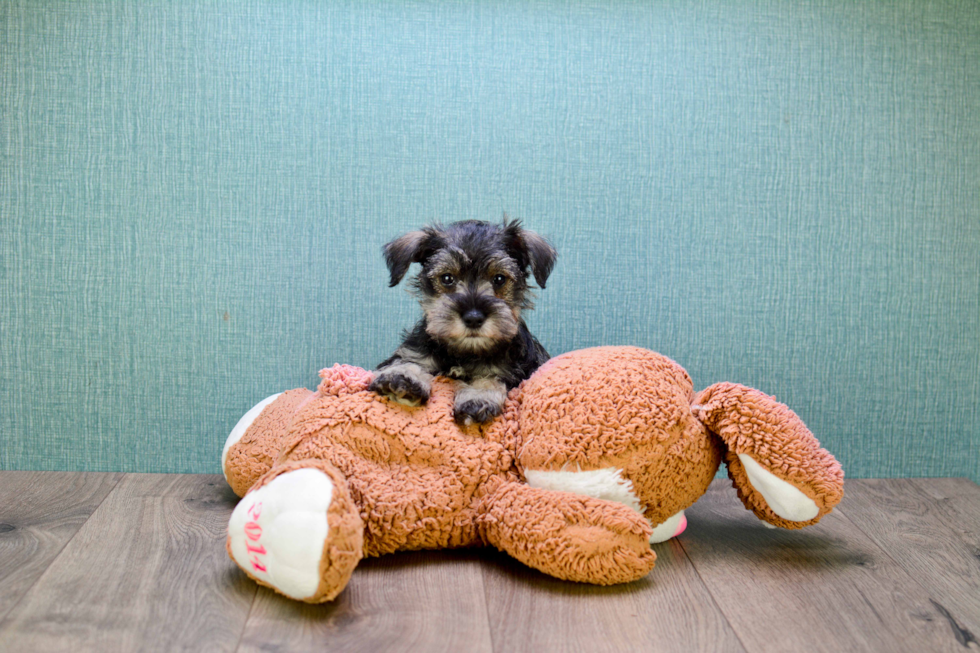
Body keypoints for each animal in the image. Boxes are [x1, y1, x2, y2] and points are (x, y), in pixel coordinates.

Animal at [370, 216, 556, 426]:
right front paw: (402, 376)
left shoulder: (515, 372)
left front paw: (477, 398)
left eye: (499, 279)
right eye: (447, 278)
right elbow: (409, 361)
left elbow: (491, 376)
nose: (473, 318)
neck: (464, 352)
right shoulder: (415, 351)